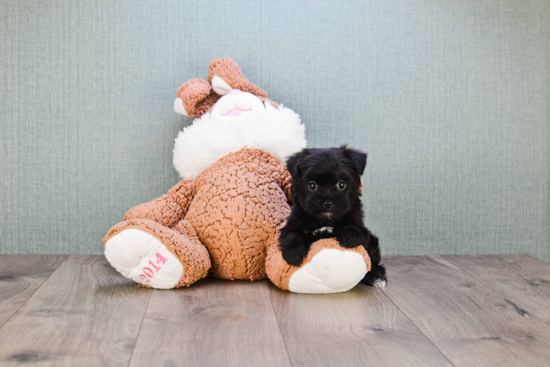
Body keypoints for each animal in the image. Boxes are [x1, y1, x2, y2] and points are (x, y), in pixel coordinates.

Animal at [280, 147, 388, 288]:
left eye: (341, 185)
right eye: (312, 185)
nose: (327, 202)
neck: (326, 220)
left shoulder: (361, 227)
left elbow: (356, 230)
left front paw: (350, 236)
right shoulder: (292, 224)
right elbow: (292, 234)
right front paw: (293, 251)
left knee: (373, 259)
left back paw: (376, 277)